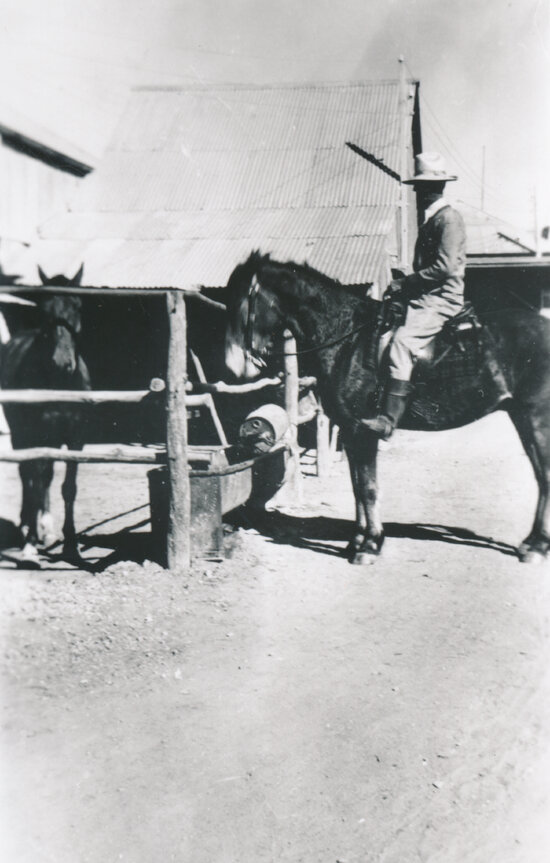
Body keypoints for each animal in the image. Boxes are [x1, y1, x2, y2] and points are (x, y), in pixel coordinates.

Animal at [0, 265, 90, 564]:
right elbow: (36, 481)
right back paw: (27, 527)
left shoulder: (75, 439)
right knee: (28, 475)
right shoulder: (37, 435)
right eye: (44, 309)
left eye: (77, 305)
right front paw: (29, 544)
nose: (62, 363)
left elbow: (68, 487)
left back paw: (45, 529)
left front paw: (71, 544)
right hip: (22, 434)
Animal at [224, 252, 550, 565]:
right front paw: (357, 540)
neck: (347, 337)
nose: (233, 367)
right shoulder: (350, 432)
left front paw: (370, 545)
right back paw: (532, 543)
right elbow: (357, 488)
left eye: (243, 300)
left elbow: (368, 488)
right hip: (522, 417)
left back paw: (537, 546)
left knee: (545, 474)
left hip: (536, 419)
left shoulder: (363, 431)